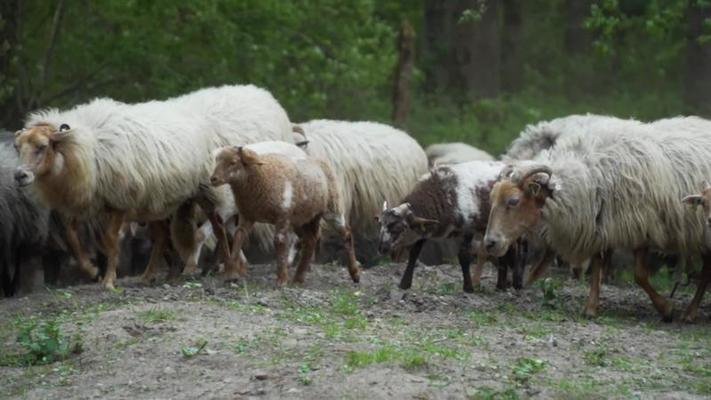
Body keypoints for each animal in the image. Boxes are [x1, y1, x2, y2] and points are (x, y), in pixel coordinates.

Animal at [16, 85, 294, 290]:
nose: (20, 175)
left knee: (215, 227)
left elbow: (110, 240)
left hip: (205, 191)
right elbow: (73, 235)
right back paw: (170, 273)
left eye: (42, 146)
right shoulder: (98, 201)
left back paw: (216, 268)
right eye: (18, 147)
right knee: (172, 235)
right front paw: (91, 269)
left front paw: (108, 280)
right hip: (162, 198)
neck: (85, 147)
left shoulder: (119, 200)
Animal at [378, 160, 524, 294]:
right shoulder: (425, 228)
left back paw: (514, 283)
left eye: (398, 227)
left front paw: (468, 288)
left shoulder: (468, 228)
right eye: (380, 224)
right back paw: (501, 285)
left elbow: (463, 256)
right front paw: (404, 284)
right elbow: (414, 254)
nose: (382, 249)